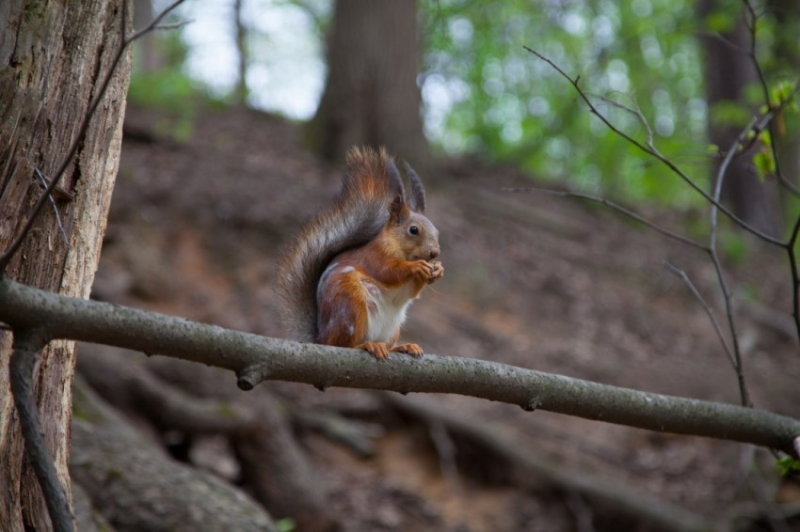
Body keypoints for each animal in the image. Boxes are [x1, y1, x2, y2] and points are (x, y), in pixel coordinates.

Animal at [278, 148, 444, 360]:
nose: (434, 253)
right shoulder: (374, 255)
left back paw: (402, 347)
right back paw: (367, 345)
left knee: (384, 343)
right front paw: (415, 267)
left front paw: (438, 269)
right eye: (413, 230)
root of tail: (321, 338)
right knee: (344, 344)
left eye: (436, 231)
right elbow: (387, 271)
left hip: (391, 328)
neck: (399, 249)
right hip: (350, 305)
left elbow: (411, 292)